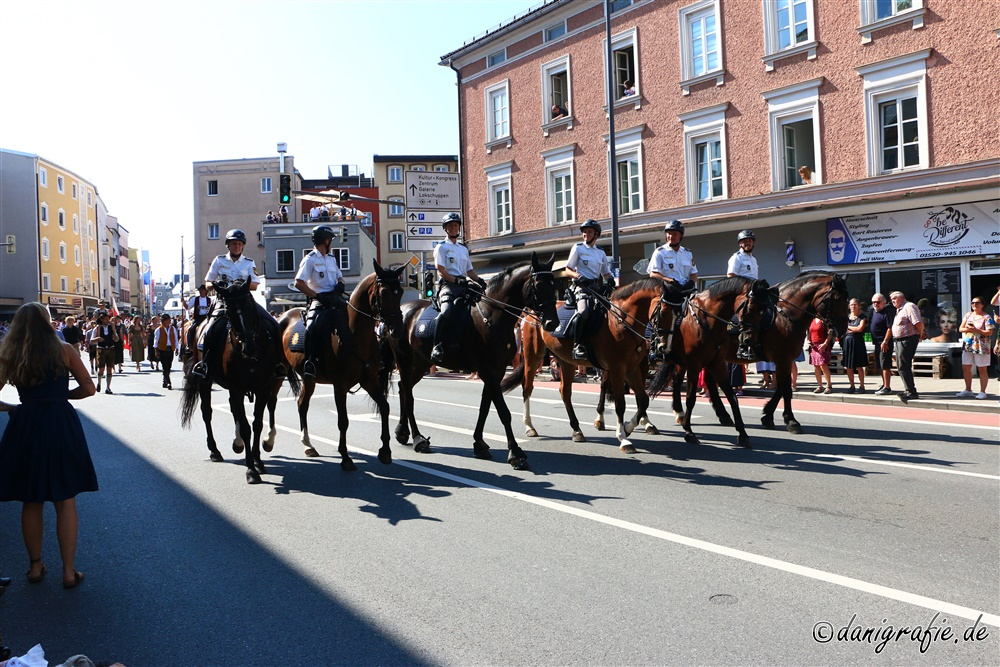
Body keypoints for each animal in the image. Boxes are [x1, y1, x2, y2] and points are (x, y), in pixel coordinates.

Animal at [181, 280, 298, 482]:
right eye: (229, 312)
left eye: (249, 306)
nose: (249, 347)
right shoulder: (236, 388)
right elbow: (245, 427)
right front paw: (251, 470)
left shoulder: (262, 388)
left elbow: (257, 423)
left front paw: (258, 461)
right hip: (205, 381)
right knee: (207, 412)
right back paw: (215, 450)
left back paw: (238, 445)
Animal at [280, 258, 404, 472]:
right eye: (383, 292)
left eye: (401, 291)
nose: (397, 329)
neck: (355, 333)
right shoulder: (340, 385)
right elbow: (343, 420)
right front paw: (345, 457)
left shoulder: (370, 381)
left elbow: (385, 407)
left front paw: (385, 451)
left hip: (308, 379)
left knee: (302, 405)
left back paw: (308, 445)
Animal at [386, 253, 564, 472]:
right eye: (538, 285)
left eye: (554, 284)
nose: (552, 323)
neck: (490, 316)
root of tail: (402, 309)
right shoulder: (488, 370)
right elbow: (503, 412)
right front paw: (515, 453)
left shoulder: (495, 371)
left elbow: (485, 407)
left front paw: (479, 444)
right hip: (404, 360)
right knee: (408, 395)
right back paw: (418, 439)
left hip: (421, 363)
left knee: (404, 388)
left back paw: (402, 431)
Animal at [504, 276, 684, 454]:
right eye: (663, 312)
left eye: (680, 315)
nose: (664, 348)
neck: (621, 322)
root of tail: (531, 310)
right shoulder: (618, 368)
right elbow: (620, 403)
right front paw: (623, 438)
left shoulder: (632, 368)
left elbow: (643, 399)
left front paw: (628, 427)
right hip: (533, 356)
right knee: (527, 387)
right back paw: (530, 426)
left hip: (566, 361)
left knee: (565, 392)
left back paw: (577, 430)